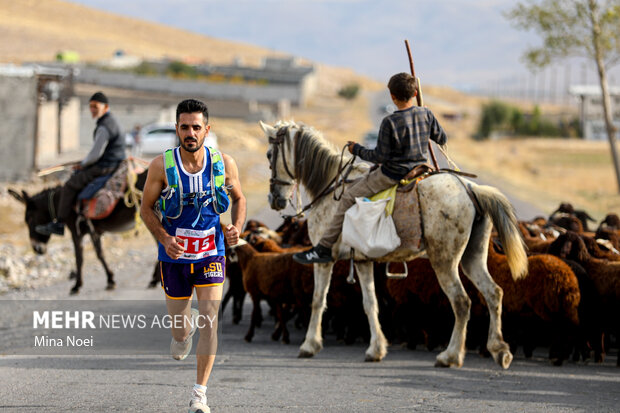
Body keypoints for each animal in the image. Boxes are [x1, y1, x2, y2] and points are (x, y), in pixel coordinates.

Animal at [260, 119, 524, 366]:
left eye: (270, 154)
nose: (274, 199)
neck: (330, 186)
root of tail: (468, 188)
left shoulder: (325, 261)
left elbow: (317, 300)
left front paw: (309, 345)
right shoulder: (363, 262)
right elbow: (370, 303)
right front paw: (376, 350)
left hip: (445, 262)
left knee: (461, 302)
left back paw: (450, 356)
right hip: (472, 258)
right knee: (493, 293)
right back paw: (500, 350)